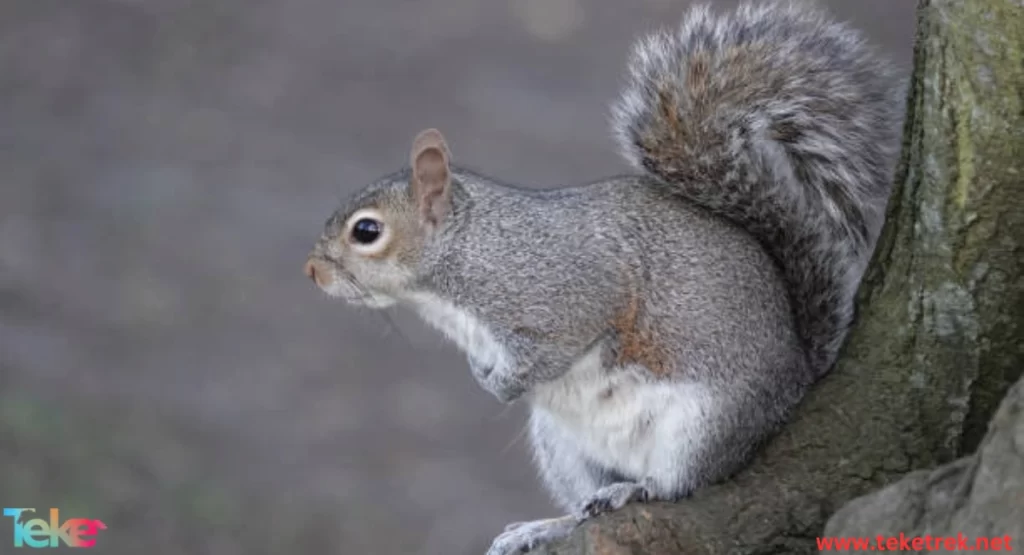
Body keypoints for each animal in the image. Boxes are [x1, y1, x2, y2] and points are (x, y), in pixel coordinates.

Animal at [299, 2, 901, 552]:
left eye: (367, 231)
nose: (311, 271)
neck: (470, 254)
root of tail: (795, 379)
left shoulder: (569, 295)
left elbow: (556, 347)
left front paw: (502, 385)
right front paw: (482, 373)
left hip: (703, 422)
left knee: (677, 485)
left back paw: (631, 490)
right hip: (564, 448)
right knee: (583, 506)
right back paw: (546, 526)